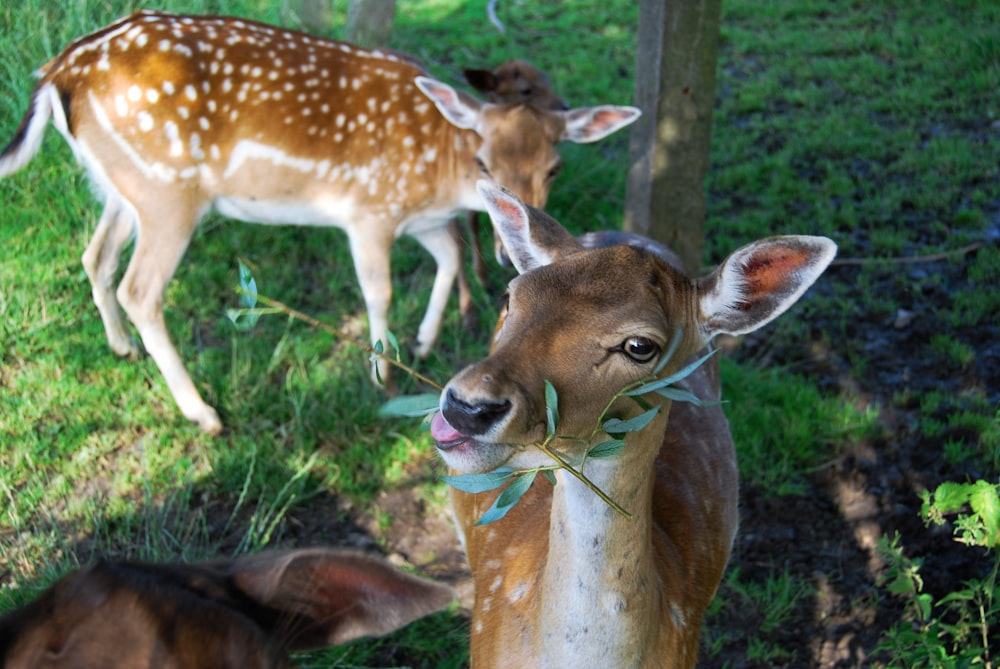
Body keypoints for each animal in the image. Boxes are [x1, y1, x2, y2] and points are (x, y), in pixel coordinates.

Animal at [0, 13, 636, 436]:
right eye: (484, 162)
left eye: (554, 166)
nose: (511, 254)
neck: (438, 174)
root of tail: (57, 71)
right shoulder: (369, 211)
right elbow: (379, 291)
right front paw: (383, 374)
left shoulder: (419, 219)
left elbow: (449, 256)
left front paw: (423, 343)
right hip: (166, 193)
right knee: (140, 289)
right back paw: (203, 413)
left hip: (120, 186)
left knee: (95, 255)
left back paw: (122, 348)